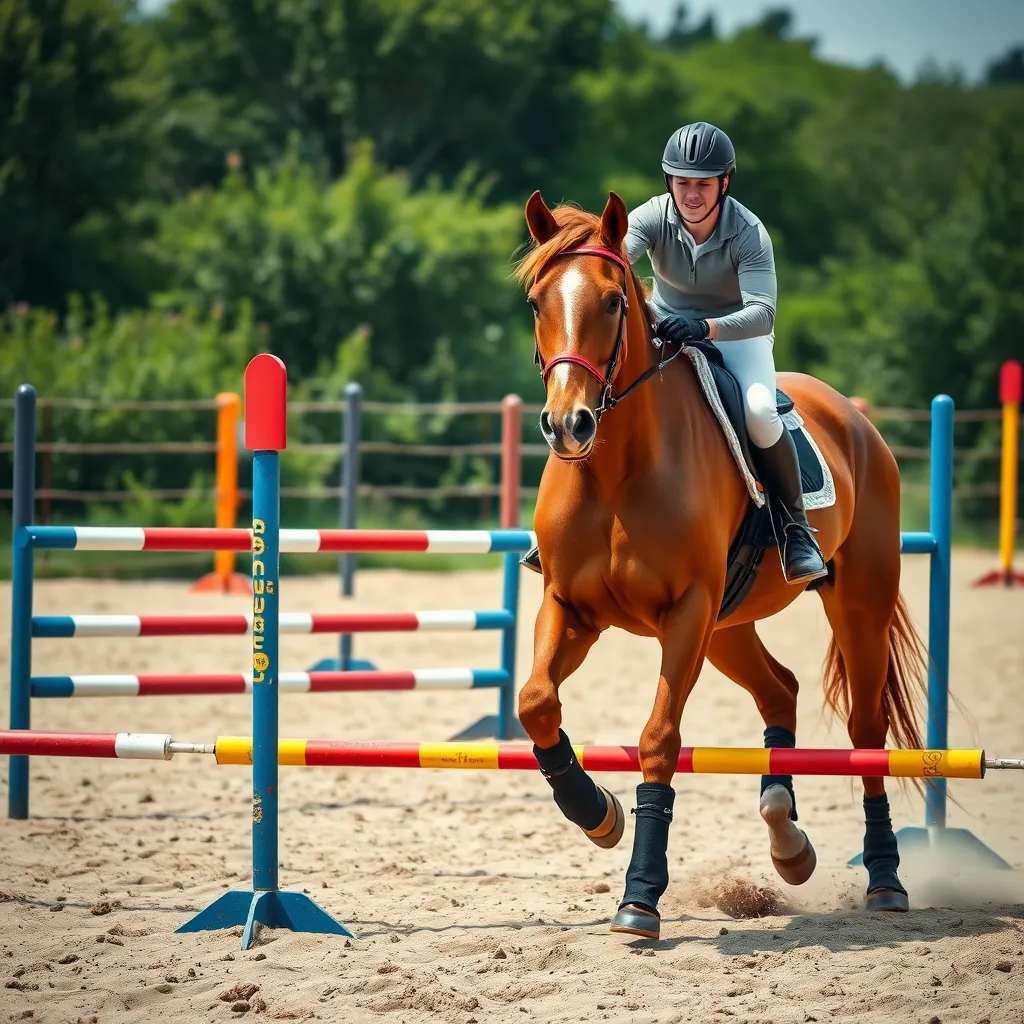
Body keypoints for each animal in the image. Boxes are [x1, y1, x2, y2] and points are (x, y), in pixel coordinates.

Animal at [513, 190, 926, 939]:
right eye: (536, 302)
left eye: (614, 301)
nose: (568, 426)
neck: (615, 471)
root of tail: (854, 418)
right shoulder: (571, 608)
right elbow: (535, 704)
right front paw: (596, 813)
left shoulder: (687, 612)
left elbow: (658, 738)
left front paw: (639, 897)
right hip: (730, 626)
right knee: (780, 690)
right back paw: (787, 839)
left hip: (855, 605)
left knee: (865, 733)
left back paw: (885, 879)